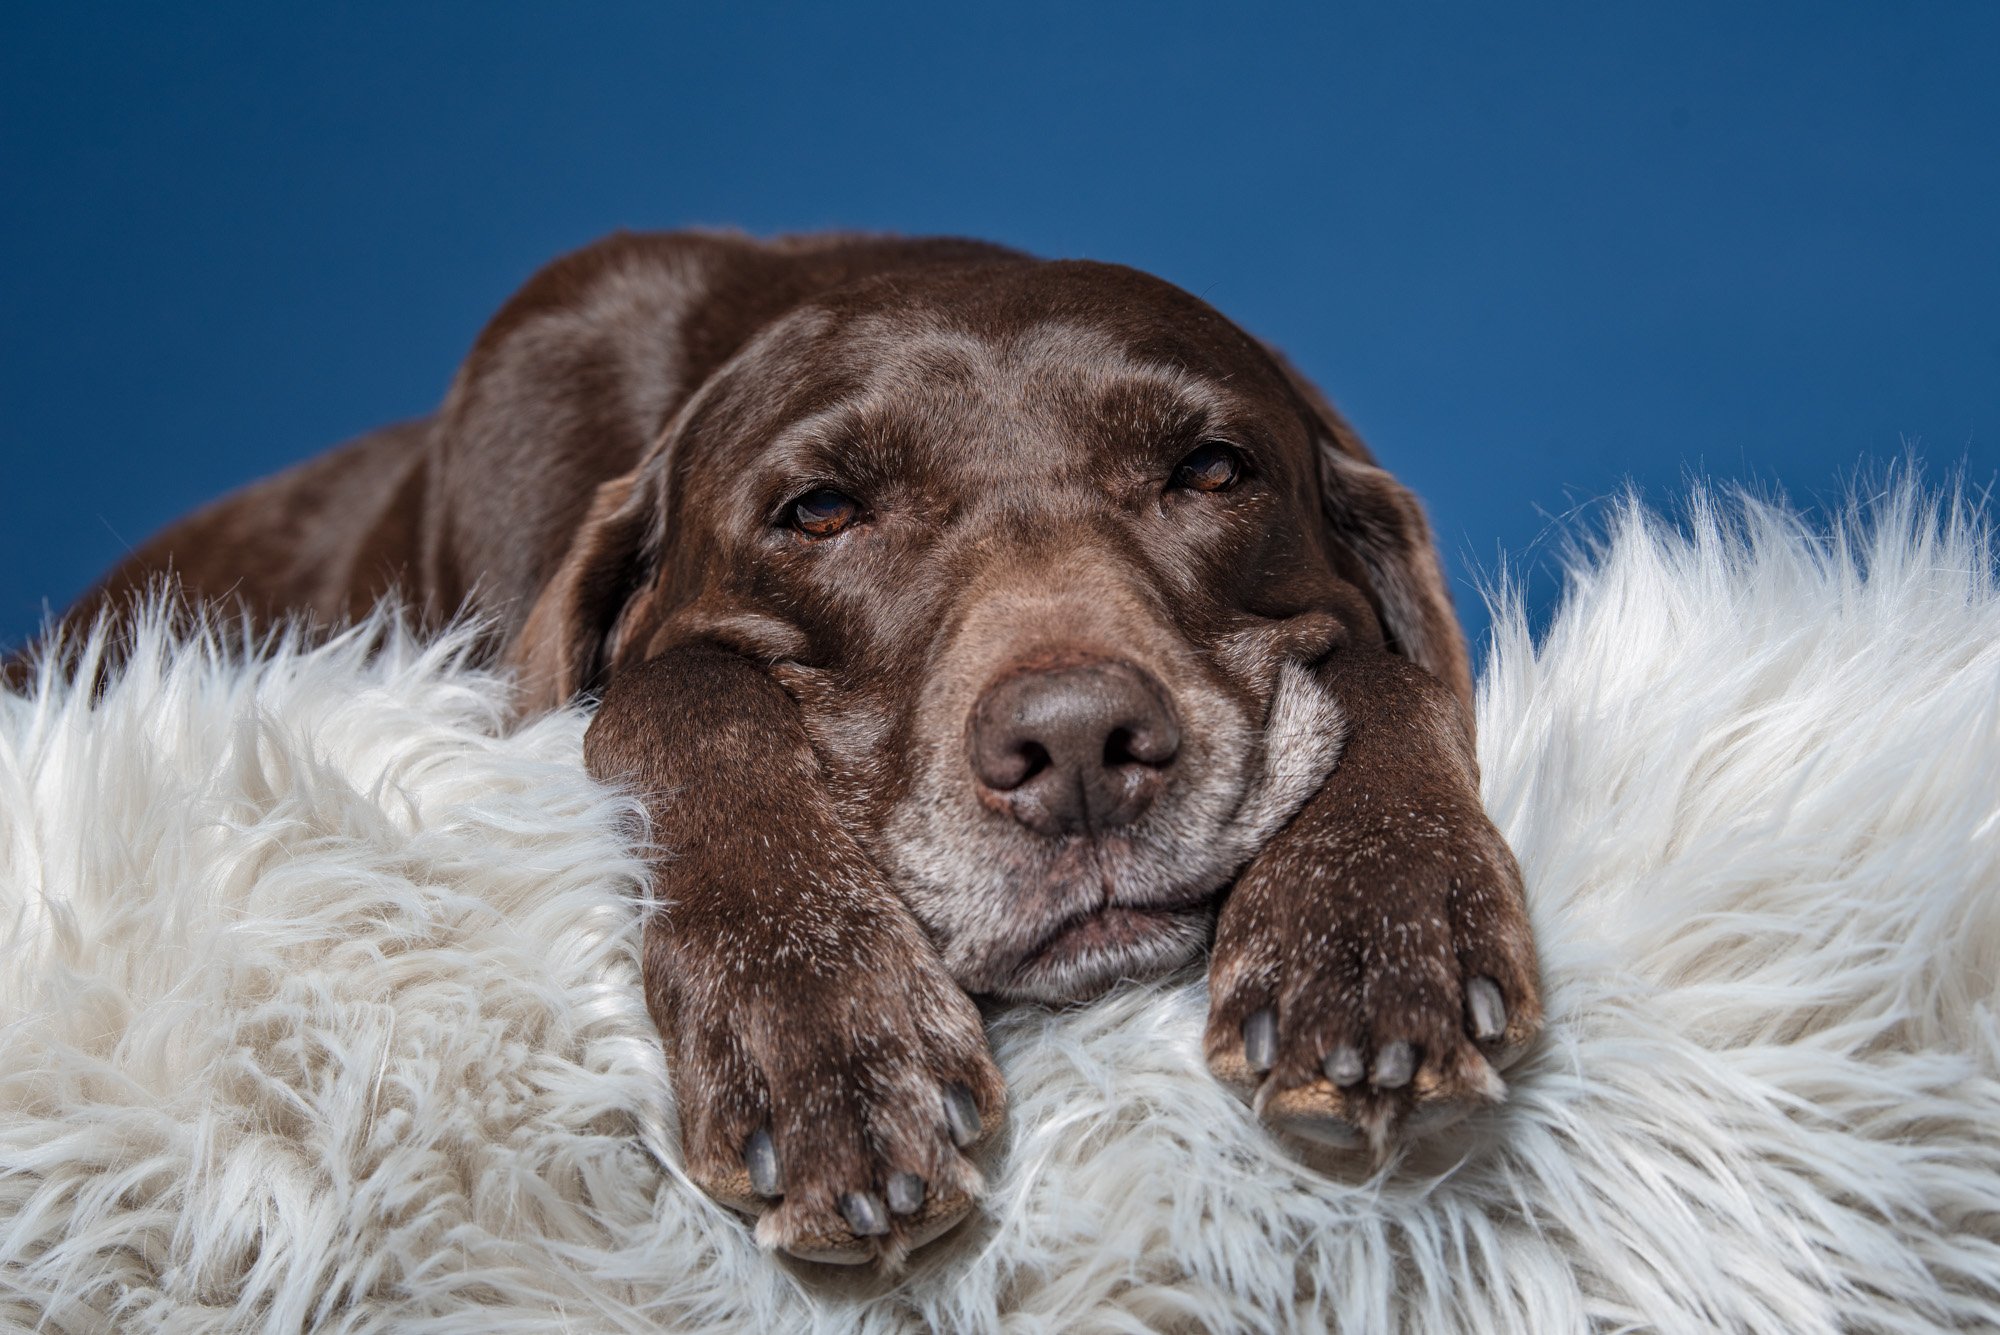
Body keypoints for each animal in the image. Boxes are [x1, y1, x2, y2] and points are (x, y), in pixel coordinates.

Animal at [50, 234, 1544, 1271]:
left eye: (1214, 471)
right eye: (818, 510)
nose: (1077, 746)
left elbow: (1387, 676)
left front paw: (1374, 922)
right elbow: (682, 685)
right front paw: (826, 1040)